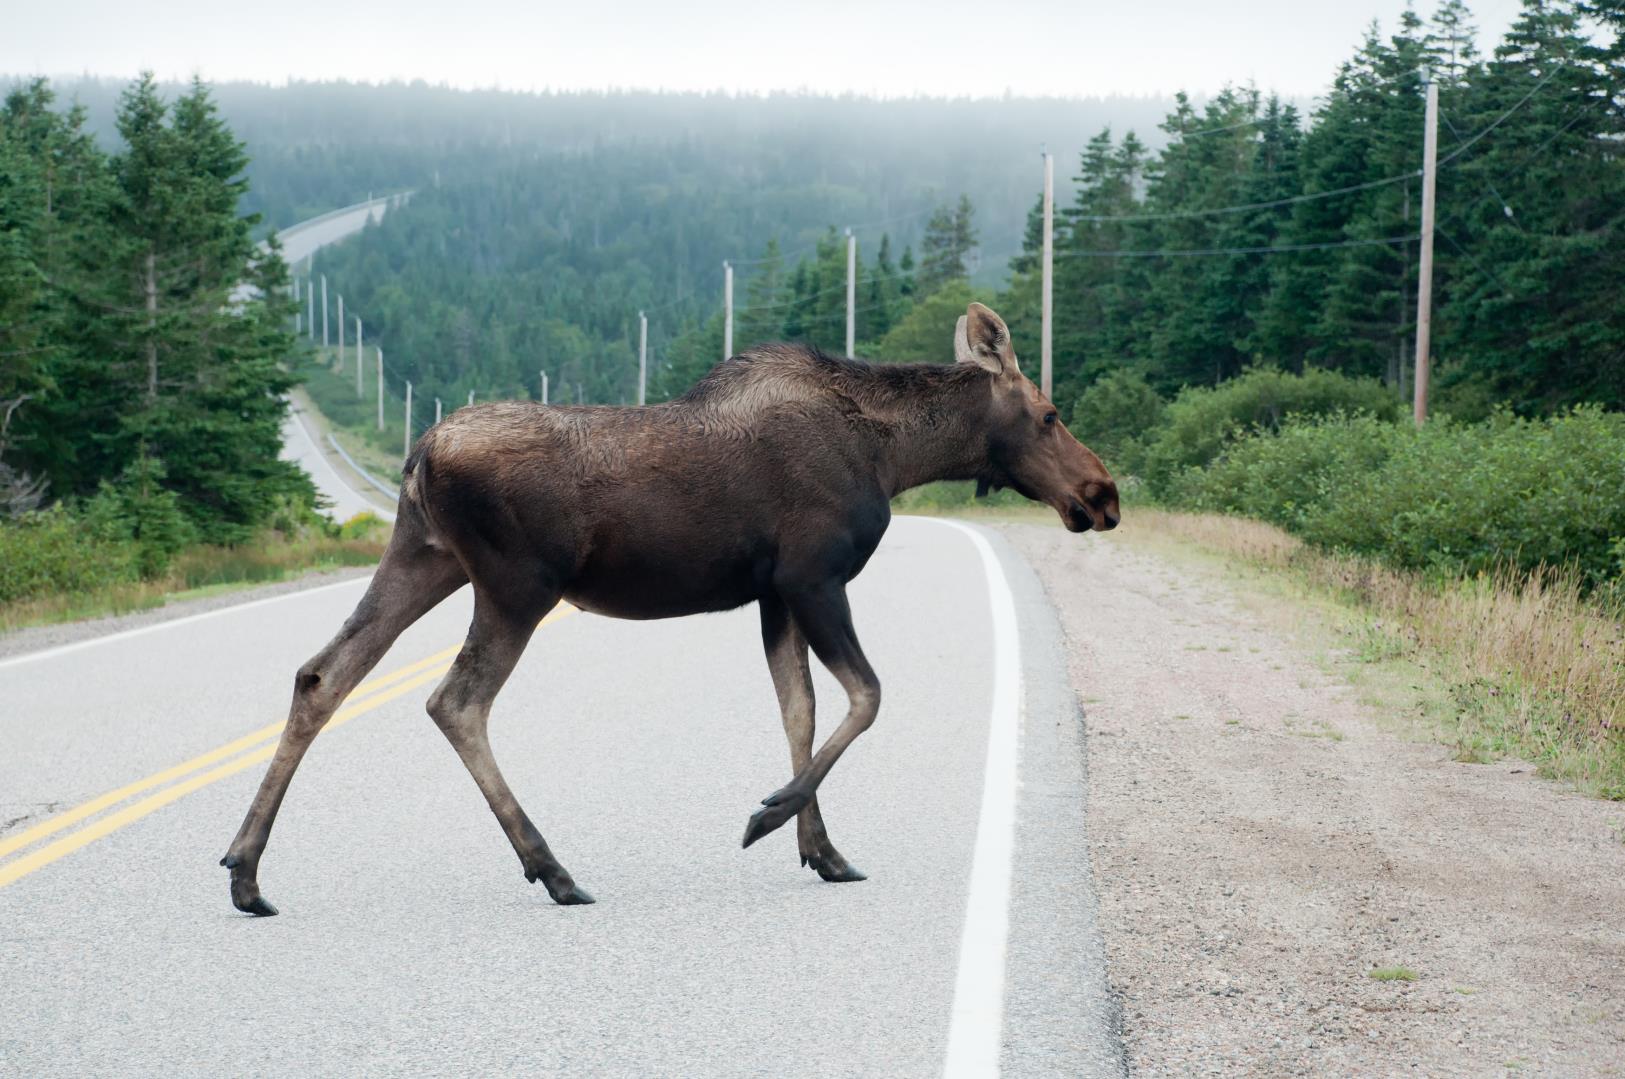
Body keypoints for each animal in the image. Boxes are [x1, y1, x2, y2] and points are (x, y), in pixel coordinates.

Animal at [222, 300, 1118, 910]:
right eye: (1049, 413)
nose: (1102, 495)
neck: (894, 453)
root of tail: (417, 455)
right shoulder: (813, 576)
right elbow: (865, 695)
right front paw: (768, 815)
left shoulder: (771, 593)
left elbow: (799, 709)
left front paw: (822, 849)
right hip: (515, 584)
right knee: (455, 700)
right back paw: (553, 868)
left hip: (424, 557)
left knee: (323, 675)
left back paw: (246, 869)